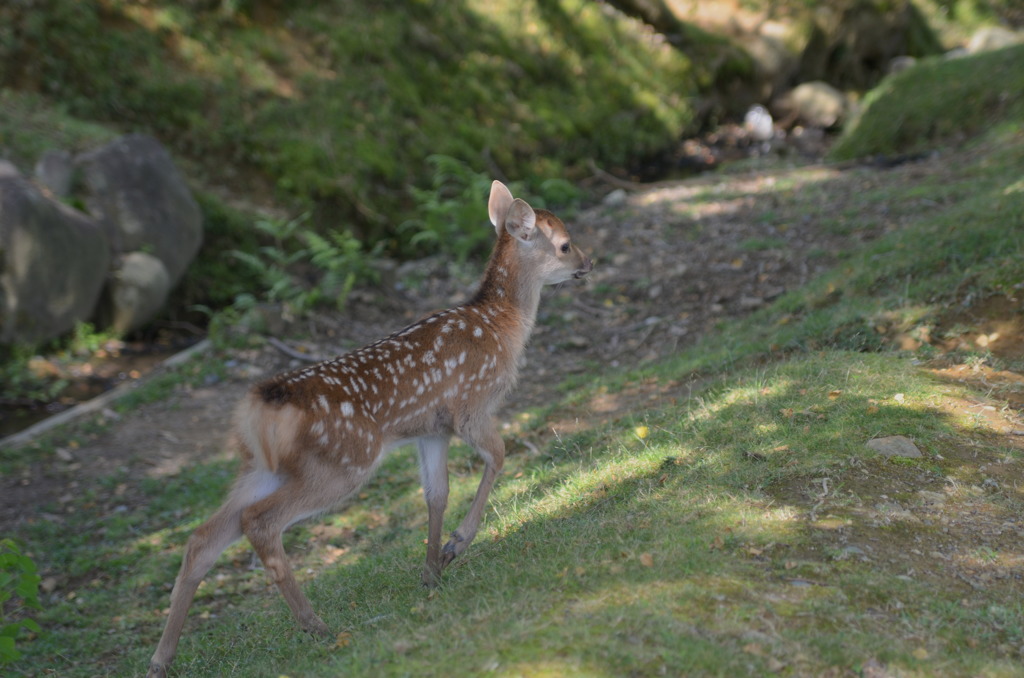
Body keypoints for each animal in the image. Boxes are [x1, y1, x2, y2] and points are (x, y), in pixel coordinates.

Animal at [145, 182, 593, 678]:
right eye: (564, 244)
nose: (588, 263)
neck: (501, 327)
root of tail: (258, 408)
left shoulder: (430, 430)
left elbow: (436, 494)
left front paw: (433, 570)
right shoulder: (470, 406)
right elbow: (499, 456)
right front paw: (457, 544)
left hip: (261, 468)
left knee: (204, 538)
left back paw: (161, 659)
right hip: (343, 461)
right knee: (259, 523)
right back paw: (316, 626)